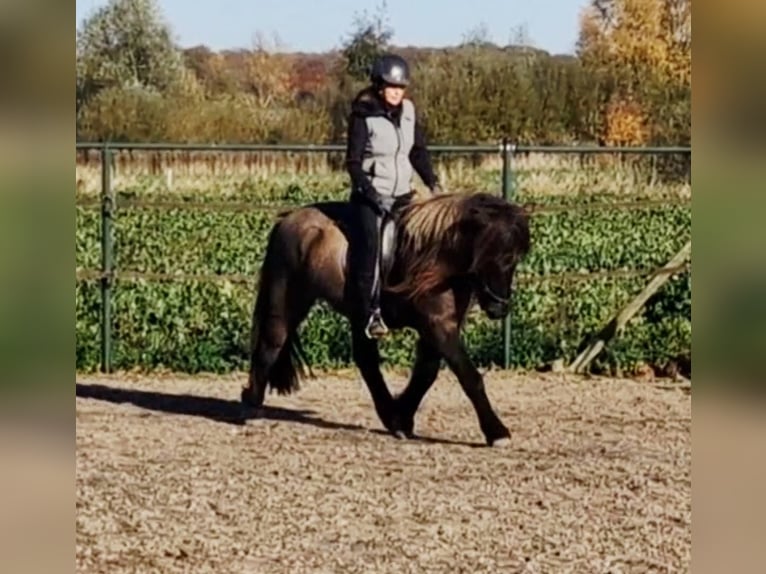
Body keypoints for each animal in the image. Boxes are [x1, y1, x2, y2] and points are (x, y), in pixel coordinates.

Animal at [241, 191, 531, 447]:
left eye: (514, 258)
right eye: (490, 255)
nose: (499, 308)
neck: (436, 258)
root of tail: (288, 219)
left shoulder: (438, 327)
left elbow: (426, 373)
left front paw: (402, 418)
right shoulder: (438, 326)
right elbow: (469, 376)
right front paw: (497, 432)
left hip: (358, 314)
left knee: (366, 360)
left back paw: (388, 412)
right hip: (287, 300)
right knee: (270, 344)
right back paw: (253, 408)